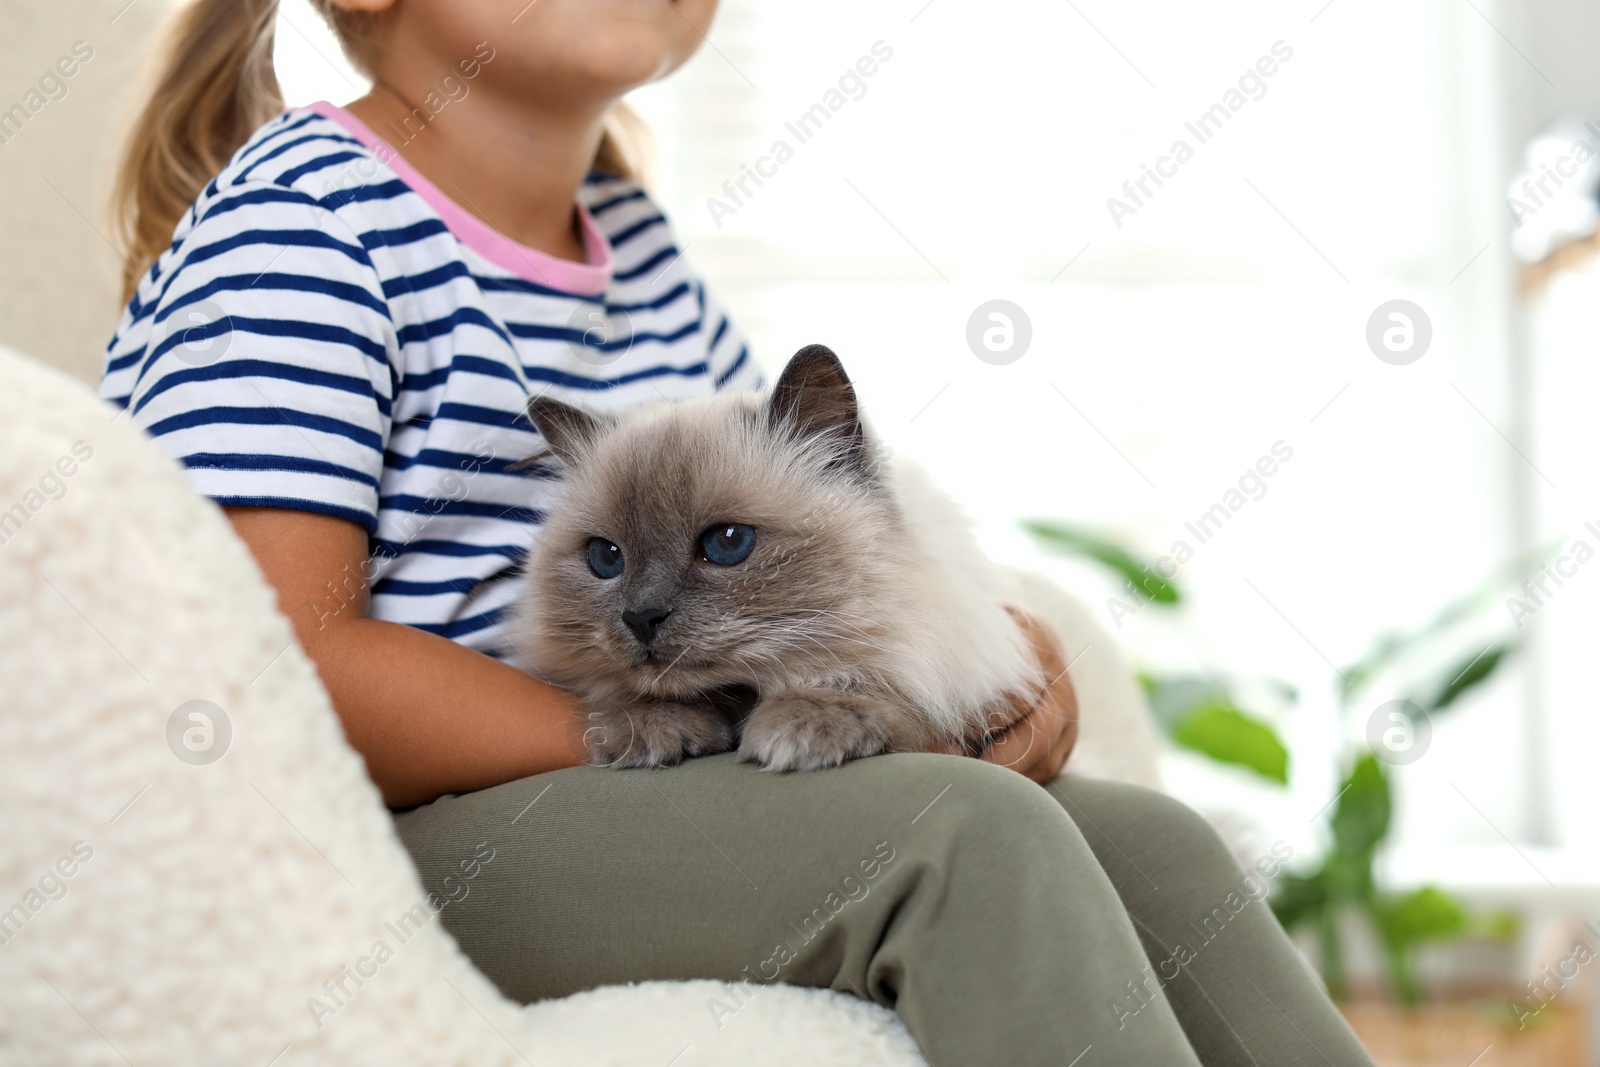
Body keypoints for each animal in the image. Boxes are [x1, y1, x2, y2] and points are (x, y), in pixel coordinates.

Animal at [505, 347, 1043, 771]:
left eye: (727, 542)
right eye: (605, 557)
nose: (641, 617)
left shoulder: (945, 654)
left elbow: (873, 681)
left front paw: (800, 725)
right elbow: (624, 690)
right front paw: (649, 730)